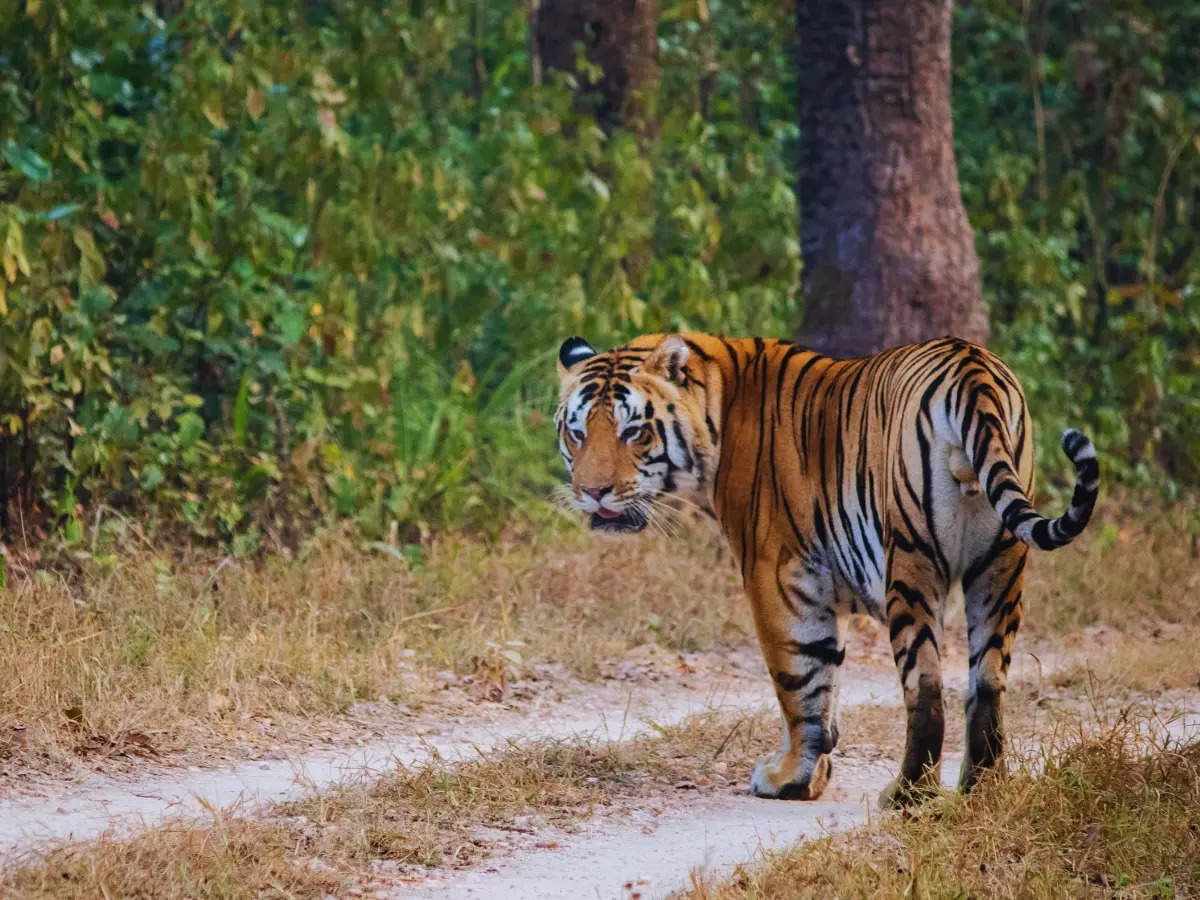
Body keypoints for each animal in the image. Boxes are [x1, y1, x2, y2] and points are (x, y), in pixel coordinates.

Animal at [552, 333, 1099, 811]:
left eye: (634, 432)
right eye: (577, 433)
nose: (592, 492)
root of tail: (972, 369)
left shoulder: (777, 573)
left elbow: (801, 682)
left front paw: (789, 779)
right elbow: (828, 682)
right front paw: (815, 773)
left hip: (911, 559)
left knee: (924, 686)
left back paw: (907, 795)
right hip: (1001, 565)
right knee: (986, 681)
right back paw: (980, 791)